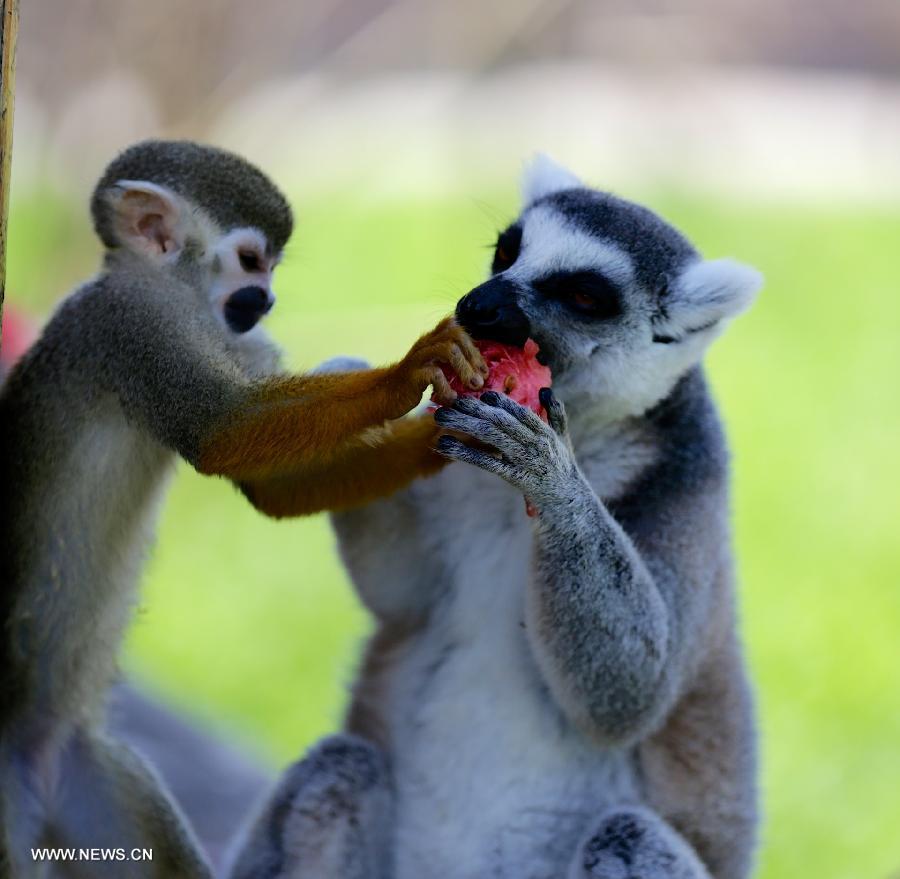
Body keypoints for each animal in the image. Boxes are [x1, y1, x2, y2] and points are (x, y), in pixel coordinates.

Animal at [0, 141, 486, 876]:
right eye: (253, 261)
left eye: (272, 267)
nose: (270, 299)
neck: (166, 287)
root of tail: (33, 756)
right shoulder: (132, 327)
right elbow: (223, 431)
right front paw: (406, 374)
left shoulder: (230, 336)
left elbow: (270, 483)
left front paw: (440, 439)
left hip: (90, 777)